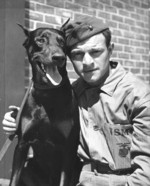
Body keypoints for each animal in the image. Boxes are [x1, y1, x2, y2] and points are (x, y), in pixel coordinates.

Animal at [8, 25, 80, 186]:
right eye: (40, 40)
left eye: (62, 41)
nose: (59, 57)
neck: (48, 93)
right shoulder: (22, 144)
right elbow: (14, 179)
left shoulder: (68, 147)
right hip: (29, 167)